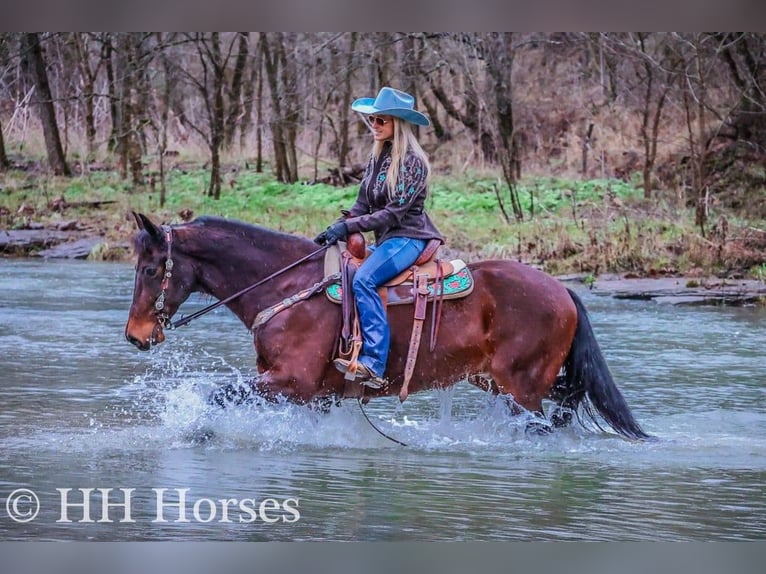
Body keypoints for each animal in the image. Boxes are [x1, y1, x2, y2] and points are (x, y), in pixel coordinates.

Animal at [125, 212, 651, 441]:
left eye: (150, 269)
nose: (135, 335)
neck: (285, 285)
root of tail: (562, 291)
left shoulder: (290, 382)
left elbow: (216, 396)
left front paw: (197, 429)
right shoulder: (312, 395)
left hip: (521, 389)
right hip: (501, 382)